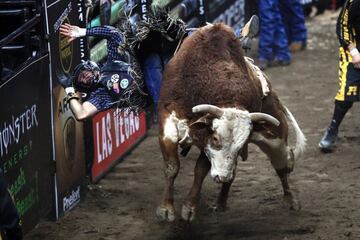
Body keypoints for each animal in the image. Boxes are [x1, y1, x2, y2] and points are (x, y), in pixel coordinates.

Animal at [156, 23, 306, 222]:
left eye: (241, 143)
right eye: (216, 138)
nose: (222, 177)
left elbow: (200, 170)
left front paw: (189, 207)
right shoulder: (168, 117)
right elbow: (172, 166)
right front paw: (166, 208)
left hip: (276, 138)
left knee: (283, 164)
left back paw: (290, 200)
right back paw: (221, 202)